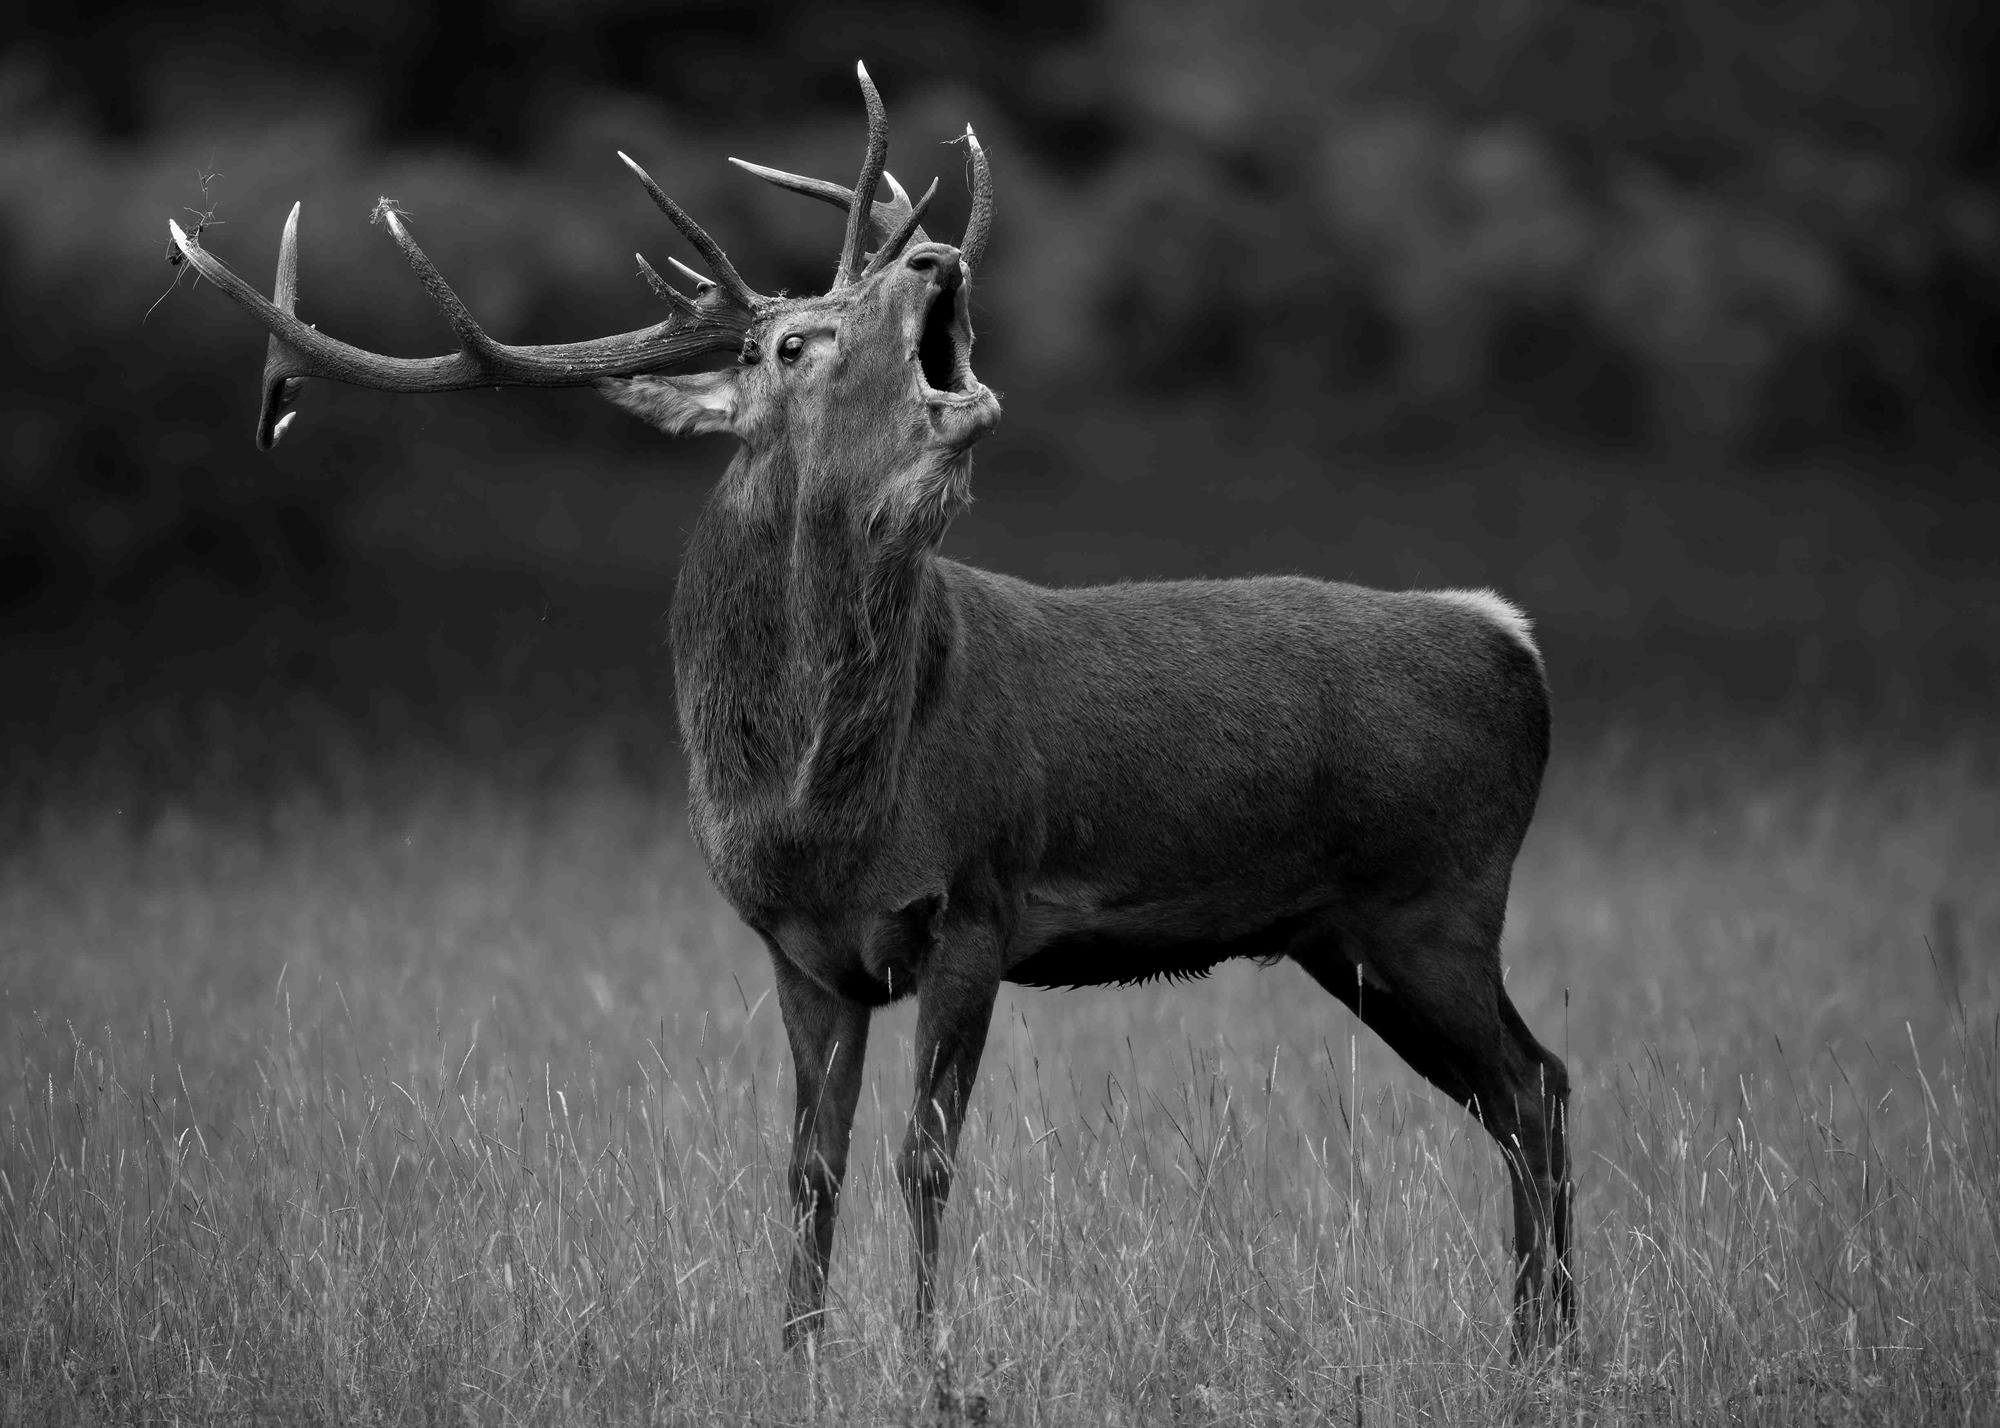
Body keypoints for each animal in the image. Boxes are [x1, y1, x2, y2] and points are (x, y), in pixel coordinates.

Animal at [167, 63, 1574, 1358]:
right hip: (1351, 932)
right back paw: (1542, 1340)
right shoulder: (795, 946)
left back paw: (1540, 1343)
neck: (817, 807)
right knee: (1527, 1090)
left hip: (1433, 898)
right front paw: (795, 1355)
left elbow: (923, 1157)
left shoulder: (977, 898)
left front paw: (926, 1356)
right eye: (788, 343)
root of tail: (1512, 640)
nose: (936, 256)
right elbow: (810, 1165)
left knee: (1534, 1085)